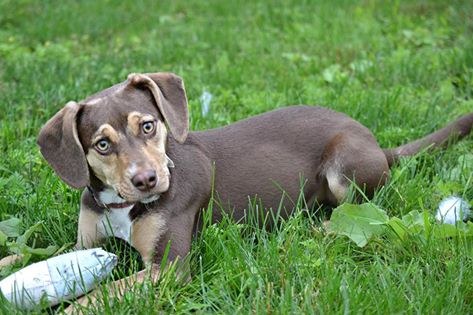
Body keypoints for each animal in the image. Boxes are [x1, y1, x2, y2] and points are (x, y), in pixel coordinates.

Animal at [37, 72, 472, 308]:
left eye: (148, 125)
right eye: (102, 144)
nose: (147, 180)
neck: (122, 206)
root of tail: (379, 147)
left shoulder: (170, 267)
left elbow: (103, 294)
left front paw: (71, 308)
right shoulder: (83, 242)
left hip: (344, 166)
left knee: (355, 214)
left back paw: (311, 229)